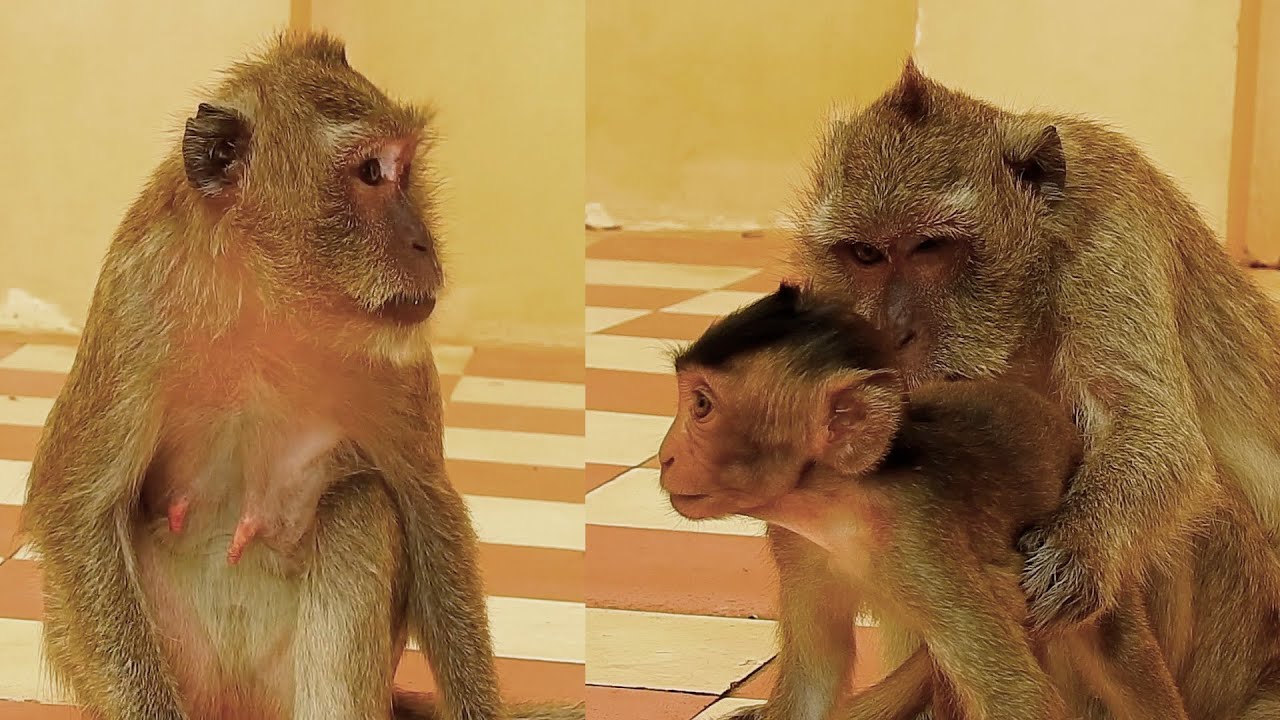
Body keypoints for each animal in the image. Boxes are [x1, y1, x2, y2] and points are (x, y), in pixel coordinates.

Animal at [20, 32, 583, 720]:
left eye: (404, 171)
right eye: (371, 173)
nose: (424, 244)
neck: (268, 296)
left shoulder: (389, 352)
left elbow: (425, 501)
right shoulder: (138, 301)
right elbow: (77, 512)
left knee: (359, 503)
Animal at [657, 283, 1201, 720]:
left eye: (701, 406)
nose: (665, 456)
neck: (843, 506)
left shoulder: (920, 549)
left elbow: (1019, 698)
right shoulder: (797, 544)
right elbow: (815, 683)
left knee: (1116, 651)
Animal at [786, 58, 1280, 718]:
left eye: (931, 248)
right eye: (865, 254)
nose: (892, 332)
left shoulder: (1112, 228)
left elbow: (1159, 433)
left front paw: (1077, 552)